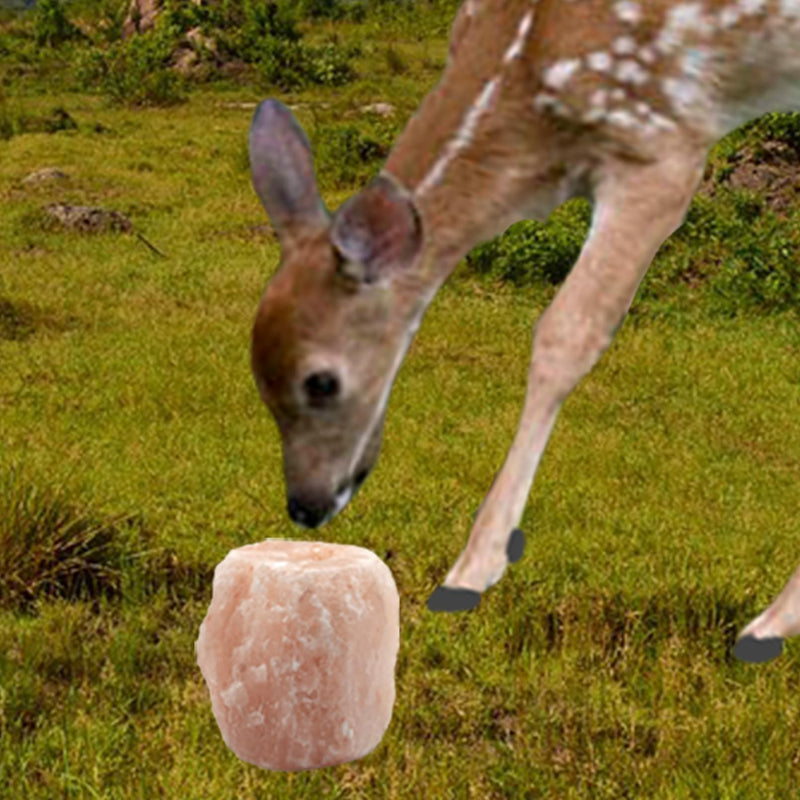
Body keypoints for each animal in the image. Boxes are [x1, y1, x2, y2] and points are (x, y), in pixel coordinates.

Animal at [246, 0, 800, 663]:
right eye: (257, 374)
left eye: (322, 381)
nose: (303, 506)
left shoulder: (663, 146)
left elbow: (564, 334)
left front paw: (470, 571)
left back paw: (768, 625)